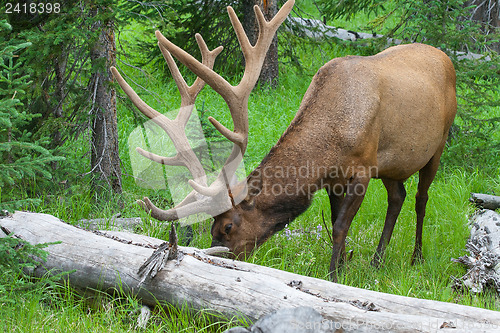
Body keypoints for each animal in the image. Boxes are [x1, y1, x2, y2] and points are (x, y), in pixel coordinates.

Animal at [110, 0, 458, 280]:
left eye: (227, 227)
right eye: (212, 228)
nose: (219, 256)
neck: (331, 144)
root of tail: (446, 56)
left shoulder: (363, 168)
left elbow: (339, 227)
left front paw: (334, 276)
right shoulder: (335, 179)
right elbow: (337, 223)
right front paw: (344, 265)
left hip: (438, 145)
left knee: (420, 199)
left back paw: (416, 257)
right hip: (394, 164)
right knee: (398, 196)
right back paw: (377, 260)